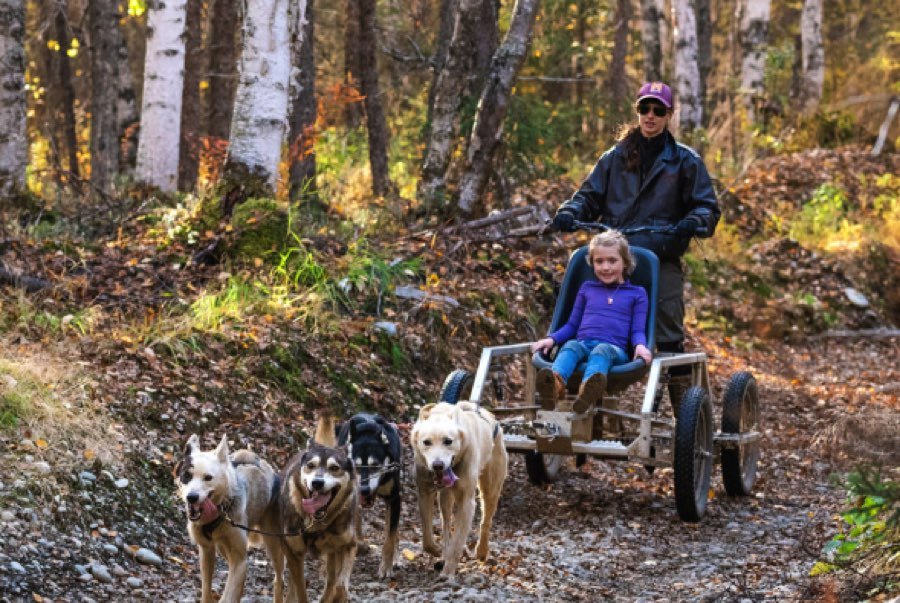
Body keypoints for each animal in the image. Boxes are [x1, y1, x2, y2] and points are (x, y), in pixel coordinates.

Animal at [338, 412, 400, 580]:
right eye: (357, 465)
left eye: (375, 465)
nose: (364, 489)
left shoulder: (394, 499)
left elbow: (390, 537)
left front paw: (386, 566)